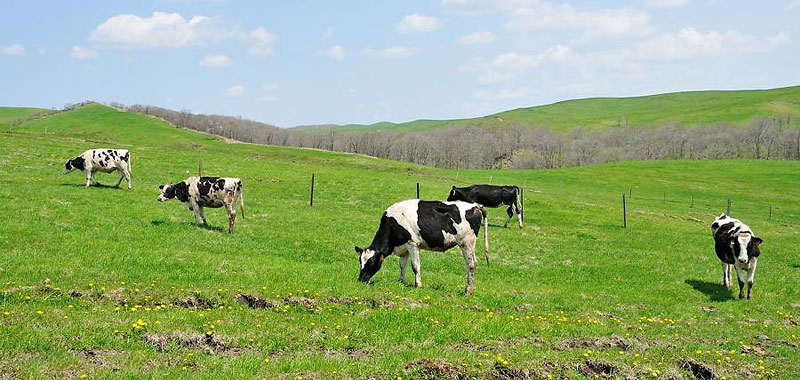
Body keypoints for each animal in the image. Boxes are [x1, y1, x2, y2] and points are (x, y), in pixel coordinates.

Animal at [354, 200, 488, 296]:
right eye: (360, 261)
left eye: (371, 262)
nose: (361, 279)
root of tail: (476, 205)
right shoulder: (404, 248)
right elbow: (402, 266)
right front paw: (401, 282)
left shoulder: (412, 244)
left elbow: (415, 266)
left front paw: (417, 285)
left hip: (467, 243)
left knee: (471, 264)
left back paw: (467, 291)